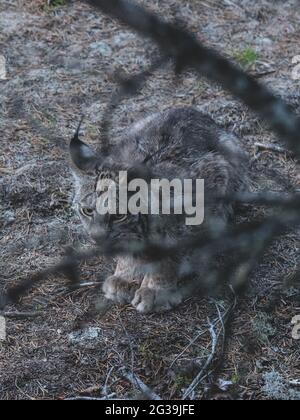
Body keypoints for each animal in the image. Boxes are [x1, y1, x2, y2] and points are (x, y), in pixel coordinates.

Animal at [69, 106, 248, 314]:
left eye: (119, 215)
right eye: (87, 211)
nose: (96, 238)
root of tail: (190, 109)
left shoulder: (211, 183)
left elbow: (170, 253)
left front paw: (156, 291)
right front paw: (126, 277)